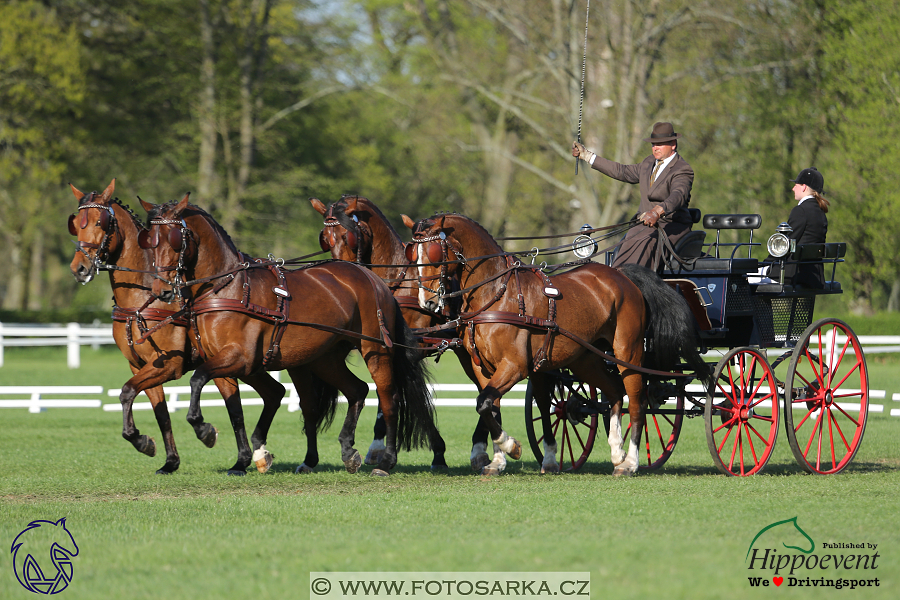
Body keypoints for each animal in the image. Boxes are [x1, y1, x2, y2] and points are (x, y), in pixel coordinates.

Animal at [67, 180, 284, 476]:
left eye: (101, 222)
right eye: (76, 224)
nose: (79, 268)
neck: (143, 298)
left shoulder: (169, 365)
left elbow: (127, 391)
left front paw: (145, 441)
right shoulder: (140, 366)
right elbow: (157, 411)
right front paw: (167, 459)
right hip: (242, 363)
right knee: (270, 394)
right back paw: (255, 456)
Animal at [139, 195, 442, 476]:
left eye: (174, 238)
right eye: (149, 241)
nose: (160, 290)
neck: (229, 288)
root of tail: (372, 279)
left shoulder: (240, 358)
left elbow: (197, 379)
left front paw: (204, 429)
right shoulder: (226, 360)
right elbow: (226, 395)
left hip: (375, 350)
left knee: (389, 399)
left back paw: (387, 460)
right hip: (325, 359)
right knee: (357, 390)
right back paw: (345, 450)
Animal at [308, 195, 492, 472]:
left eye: (347, 236)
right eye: (326, 239)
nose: (343, 274)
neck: (397, 280)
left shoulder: (408, 349)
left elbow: (402, 395)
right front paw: (382, 448)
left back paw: (482, 450)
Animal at [406, 213, 712, 476]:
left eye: (434, 253)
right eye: (412, 254)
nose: (427, 302)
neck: (497, 294)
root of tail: (623, 276)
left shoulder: (515, 366)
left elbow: (485, 403)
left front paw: (511, 448)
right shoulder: (484, 369)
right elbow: (490, 406)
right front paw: (498, 458)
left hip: (628, 352)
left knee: (637, 400)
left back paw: (631, 461)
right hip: (586, 359)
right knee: (614, 391)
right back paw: (617, 452)